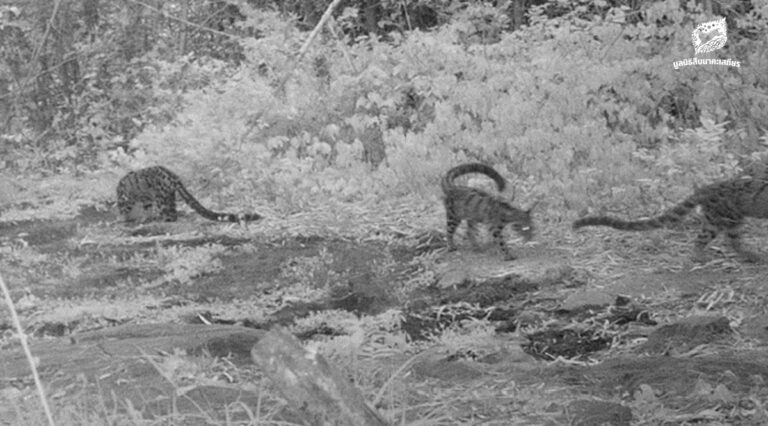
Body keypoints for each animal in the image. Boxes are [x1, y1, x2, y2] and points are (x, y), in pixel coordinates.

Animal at [117, 166, 264, 225]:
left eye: (120, 203)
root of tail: (174, 178)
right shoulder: (145, 200)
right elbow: (146, 209)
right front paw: (143, 219)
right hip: (168, 196)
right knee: (173, 212)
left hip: (161, 198)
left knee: (171, 215)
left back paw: (164, 220)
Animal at [572, 174, 768, 262]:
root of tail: (705, 188)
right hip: (719, 219)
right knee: (701, 240)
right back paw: (700, 257)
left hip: (731, 219)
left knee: (733, 241)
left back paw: (751, 255)